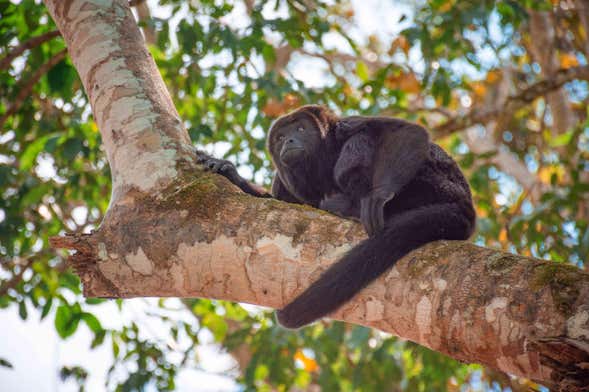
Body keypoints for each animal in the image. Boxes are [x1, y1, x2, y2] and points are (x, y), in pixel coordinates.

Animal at [195, 104, 476, 328]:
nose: (288, 142)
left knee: (363, 142)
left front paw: (379, 196)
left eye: (300, 130)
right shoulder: (282, 181)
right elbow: (276, 201)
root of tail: (465, 206)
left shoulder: (347, 125)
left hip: (434, 182)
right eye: (281, 137)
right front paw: (229, 172)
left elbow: (404, 131)